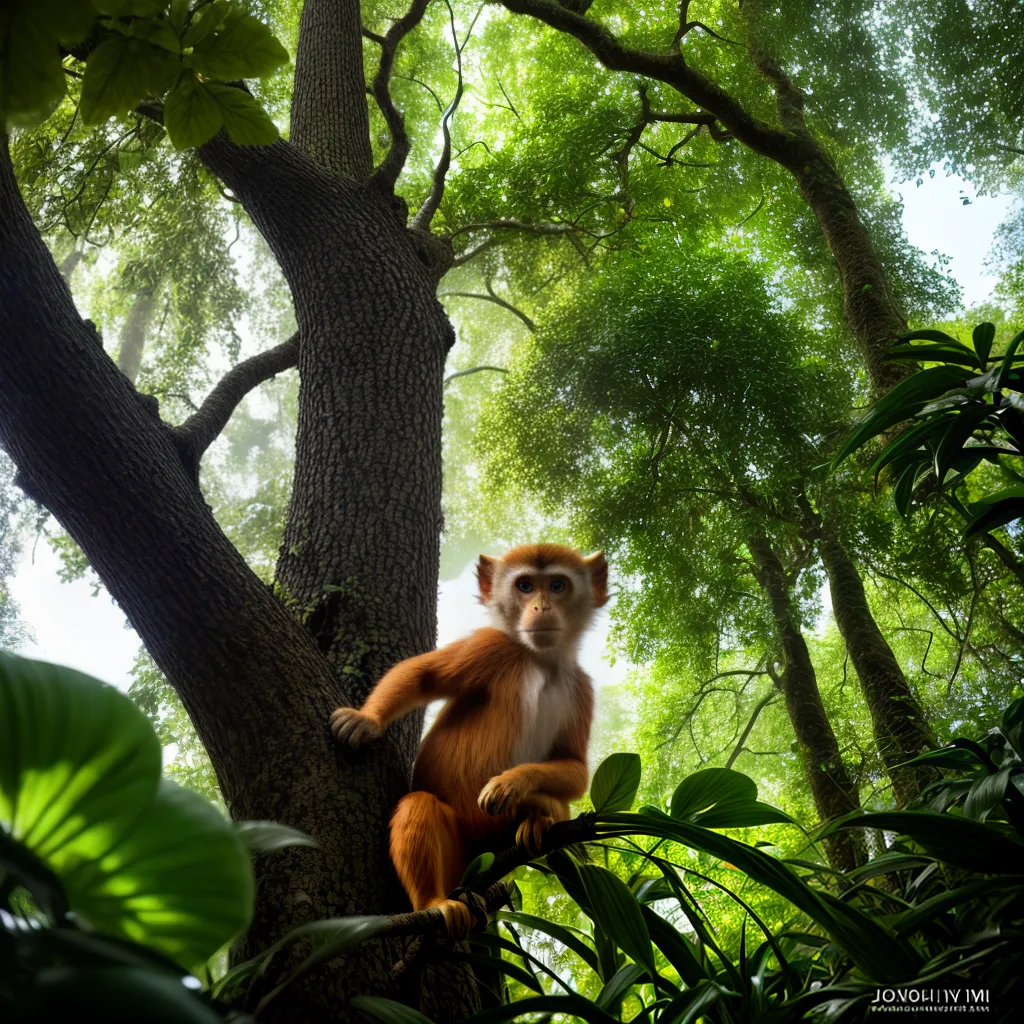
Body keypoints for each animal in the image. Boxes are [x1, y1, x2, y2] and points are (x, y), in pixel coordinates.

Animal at [329, 543, 608, 936]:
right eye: (524, 586)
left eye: (557, 585)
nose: (541, 607)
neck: (538, 660)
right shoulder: (491, 646)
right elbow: (423, 675)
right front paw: (366, 720)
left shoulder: (581, 688)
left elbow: (575, 768)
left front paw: (513, 784)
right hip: (460, 859)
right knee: (420, 805)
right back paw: (434, 901)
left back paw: (539, 816)